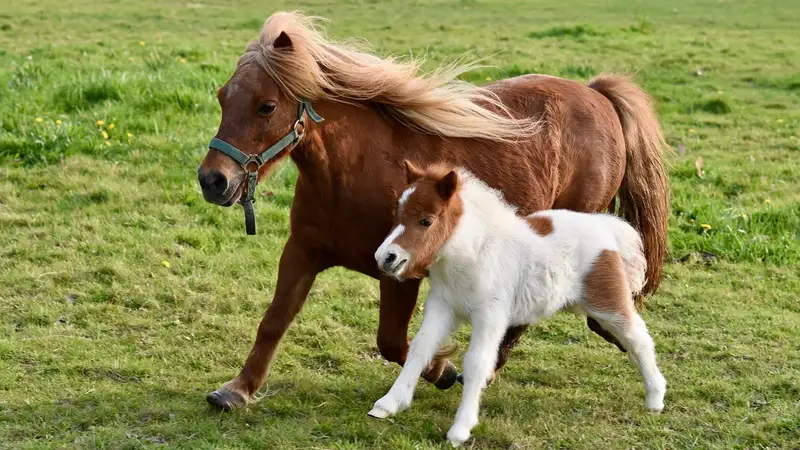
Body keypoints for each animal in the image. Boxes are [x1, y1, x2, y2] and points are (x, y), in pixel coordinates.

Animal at [197, 11, 664, 412]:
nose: (212, 180)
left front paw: (442, 369)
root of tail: (597, 94)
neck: (353, 172)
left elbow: (393, 342)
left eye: (266, 106)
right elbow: (274, 321)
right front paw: (237, 389)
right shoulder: (302, 253)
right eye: (222, 98)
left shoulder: (400, 272)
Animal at [372, 163, 664, 446]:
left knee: (638, 339)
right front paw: (388, 404)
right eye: (398, 215)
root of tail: (605, 226)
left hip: (607, 303)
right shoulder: (442, 307)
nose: (385, 257)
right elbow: (420, 348)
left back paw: (655, 397)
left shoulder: (490, 316)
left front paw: (460, 429)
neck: (474, 254)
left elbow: (477, 362)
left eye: (426, 221)